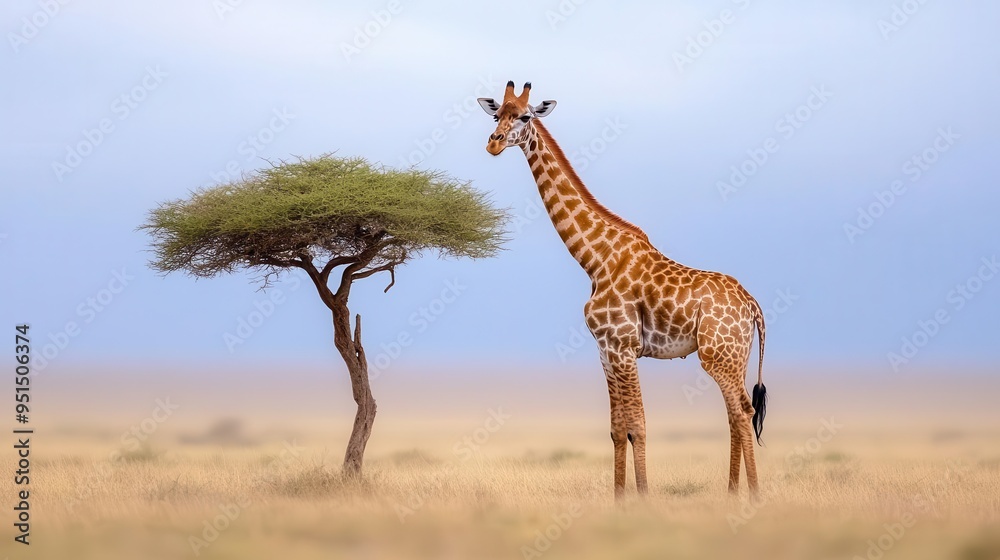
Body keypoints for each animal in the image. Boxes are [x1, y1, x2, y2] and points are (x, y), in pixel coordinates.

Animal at [477, 82, 768, 499]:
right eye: (496, 114)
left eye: (526, 116)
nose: (494, 144)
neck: (595, 258)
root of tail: (753, 305)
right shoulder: (605, 349)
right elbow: (618, 429)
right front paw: (619, 499)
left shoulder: (624, 346)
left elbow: (638, 427)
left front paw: (643, 497)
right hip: (735, 355)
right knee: (736, 412)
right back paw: (731, 493)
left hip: (719, 355)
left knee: (743, 412)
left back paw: (752, 496)